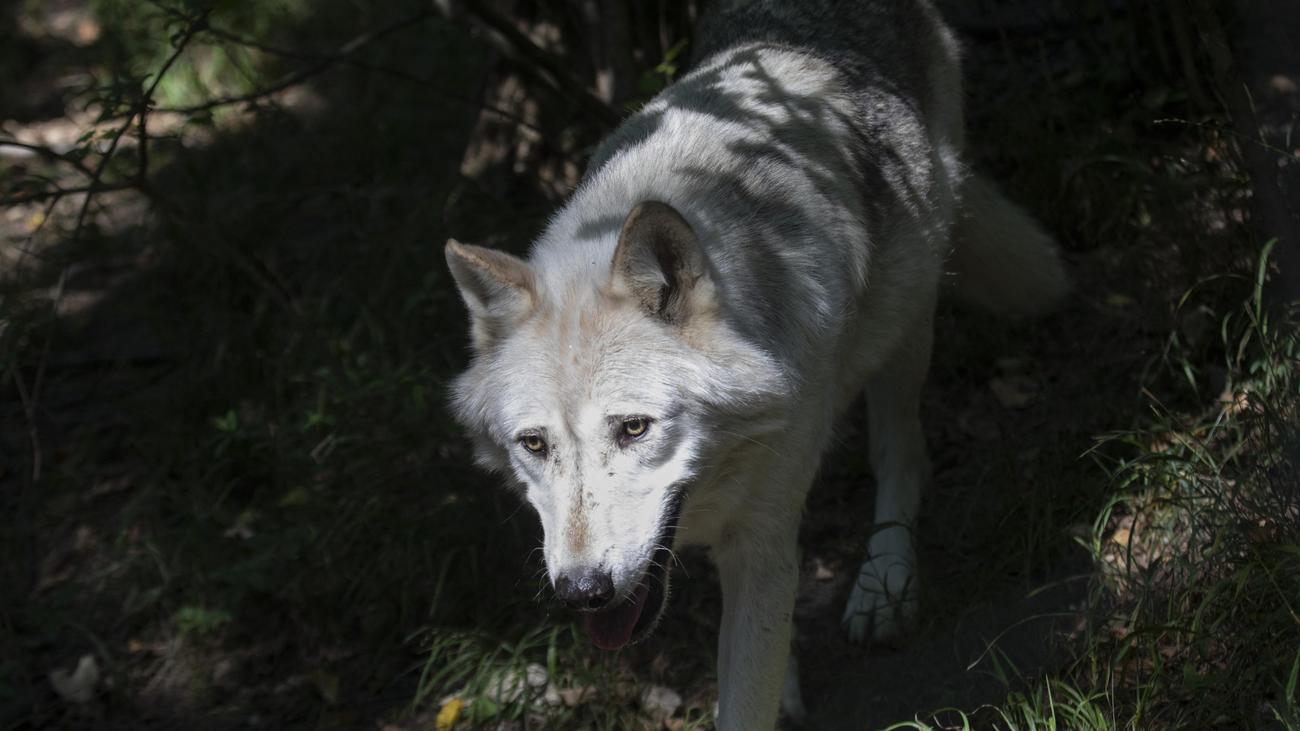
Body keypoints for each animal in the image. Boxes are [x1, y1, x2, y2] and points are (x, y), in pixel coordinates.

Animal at [444, 0, 1066, 723]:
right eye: (534, 444)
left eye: (634, 428)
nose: (583, 591)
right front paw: (785, 681)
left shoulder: (764, 534)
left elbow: (746, 689)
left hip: (908, 327)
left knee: (903, 454)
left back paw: (886, 582)